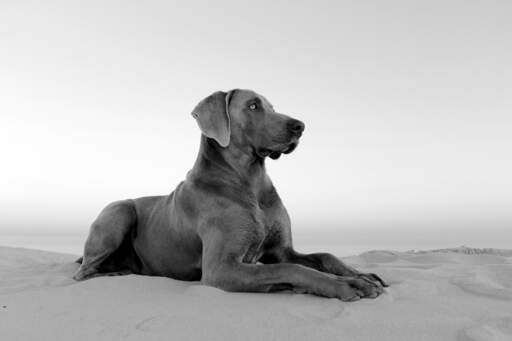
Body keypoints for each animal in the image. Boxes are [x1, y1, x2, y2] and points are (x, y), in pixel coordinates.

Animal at [74, 88, 386, 300]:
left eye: (272, 106)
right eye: (253, 105)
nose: (299, 126)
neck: (250, 182)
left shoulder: (282, 250)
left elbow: (325, 256)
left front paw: (360, 275)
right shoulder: (221, 269)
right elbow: (291, 270)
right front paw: (344, 285)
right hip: (119, 210)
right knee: (82, 271)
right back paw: (114, 272)